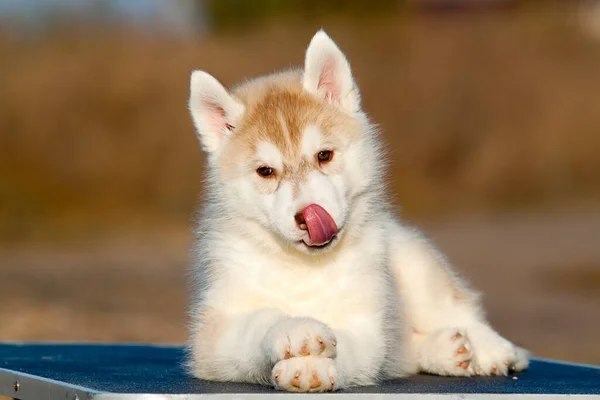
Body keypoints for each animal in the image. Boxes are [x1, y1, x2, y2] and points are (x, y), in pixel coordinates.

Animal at [185, 30, 528, 390]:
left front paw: (313, 365)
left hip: (413, 263)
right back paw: (447, 351)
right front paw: (294, 331)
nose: (309, 216)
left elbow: (349, 344)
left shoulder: (367, 327)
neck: (305, 267)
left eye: (324, 155)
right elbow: (261, 320)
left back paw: (494, 350)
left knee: (457, 307)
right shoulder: (214, 338)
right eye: (265, 171)